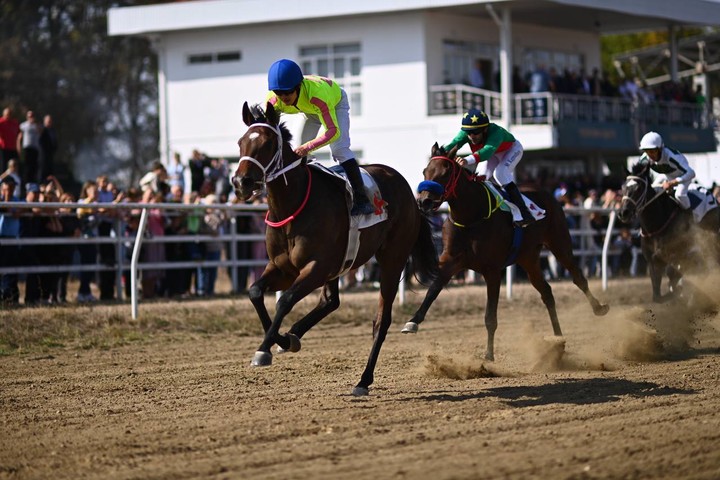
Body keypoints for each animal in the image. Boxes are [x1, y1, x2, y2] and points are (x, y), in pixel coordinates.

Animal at [231, 102, 438, 398]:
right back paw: (294, 335)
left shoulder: (316, 266)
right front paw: (281, 340)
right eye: (241, 142)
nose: (241, 183)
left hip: (392, 258)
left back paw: (363, 380)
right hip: (340, 266)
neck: (294, 205)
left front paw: (264, 350)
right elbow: (255, 292)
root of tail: (410, 192)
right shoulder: (283, 268)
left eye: (268, 143)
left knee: (381, 320)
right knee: (331, 301)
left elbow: (285, 300)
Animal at [402, 144, 612, 362]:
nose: (424, 201)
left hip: (559, 242)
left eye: (445, 173)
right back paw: (558, 340)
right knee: (546, 291)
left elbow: (490, 317)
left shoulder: (492, 270)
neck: (471, 216)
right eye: (425, 171)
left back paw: (598, 308)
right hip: (528, 258)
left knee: (578, 277)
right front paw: (412, 322)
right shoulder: (450, 261)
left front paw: (488, 355)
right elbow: (433, 290)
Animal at [612, 163, 720, 302]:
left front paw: (680, 292)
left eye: (639, 188)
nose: (623, 213)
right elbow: (657, 295)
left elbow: (672, 273)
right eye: (623, 187)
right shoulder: (653, 261)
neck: (656, 226)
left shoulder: (678, 254)